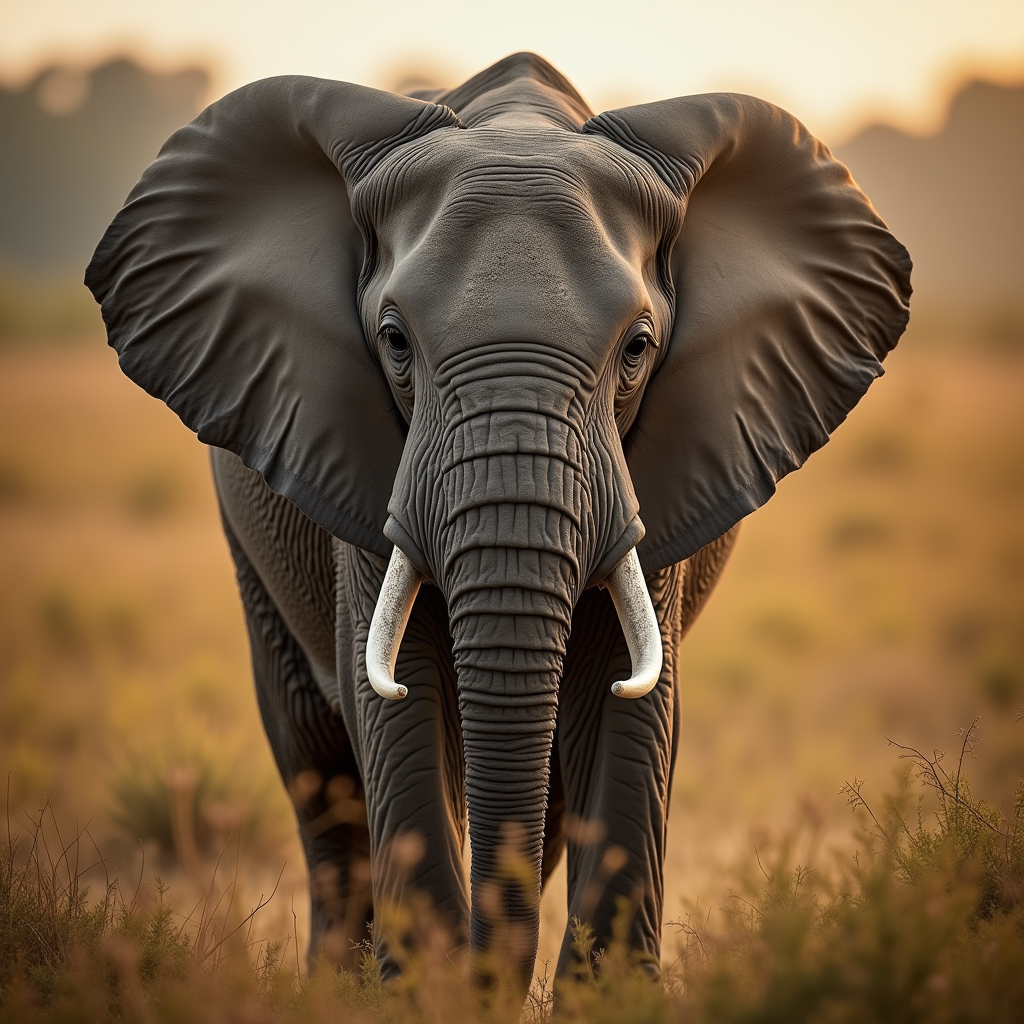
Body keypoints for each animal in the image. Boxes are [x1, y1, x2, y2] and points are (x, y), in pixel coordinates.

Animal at [85, 52, 911, 996]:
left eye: (637, 348)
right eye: (394, 341)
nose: (485, 974)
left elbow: (630, 707)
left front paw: (603, 998)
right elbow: (397, 697)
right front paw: (426, 994)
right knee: (316, 763)